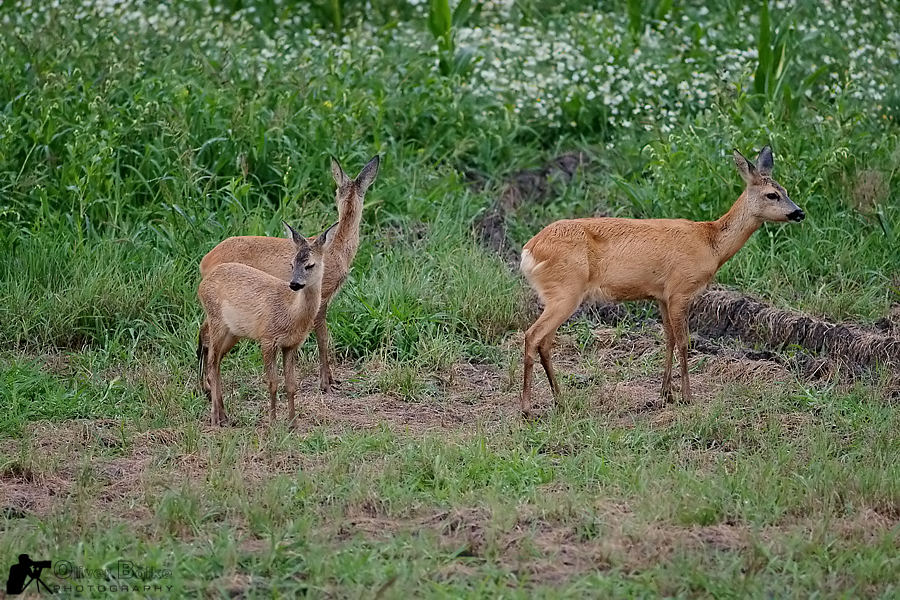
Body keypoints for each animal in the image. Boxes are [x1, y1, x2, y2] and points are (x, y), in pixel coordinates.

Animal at [198, 221, 338, 426]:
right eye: (291, 264)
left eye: (310, 265)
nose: (294, 284)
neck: (291, 312)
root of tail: (203, 283)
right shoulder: (267, 339)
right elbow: (272, 383)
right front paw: (272, 422)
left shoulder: (291, 344)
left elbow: (291, 384)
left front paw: (292, 423)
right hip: (216, 320)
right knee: (211, 362)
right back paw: (216, 418)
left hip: (233, 332)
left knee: (216, 363)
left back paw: (224, 415)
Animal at [200, 154, 380, 394]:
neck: (337, 248)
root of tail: (205, 261)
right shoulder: (322, 294)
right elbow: (323, 336)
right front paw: (326, 383)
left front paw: (331, 379)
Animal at [516, 146, 804, 418]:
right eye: (772, 195)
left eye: (786, 190)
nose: (799, 212)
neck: (711, 244)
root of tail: (529, 250)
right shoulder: (681, 289)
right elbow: (685, 343)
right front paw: (687, 397)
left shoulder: (662, 296)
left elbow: (669, 340)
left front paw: (666, 394)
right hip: (566, 291)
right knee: (532, 336)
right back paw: (528, 409)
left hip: (558, 295)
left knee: (544, 342)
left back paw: (560, 400)